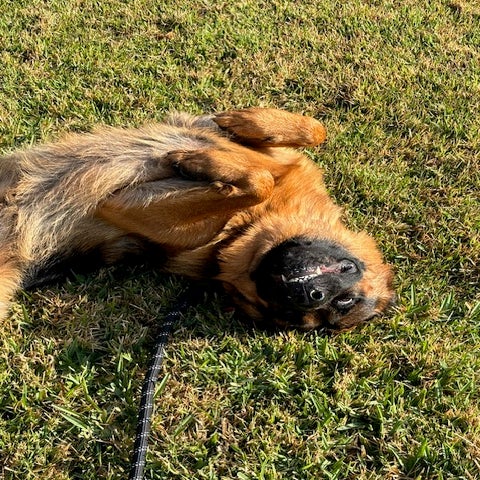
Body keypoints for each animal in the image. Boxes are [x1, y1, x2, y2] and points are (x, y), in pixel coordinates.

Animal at [0, 108, 394, 330]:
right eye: (345, 300)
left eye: (303, 319)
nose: (307, 296)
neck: (243, 230)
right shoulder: (280, 159)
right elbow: (313, 131)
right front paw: (240, 120)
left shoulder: (120, 205)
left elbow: (258, 181)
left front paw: (200, 163)